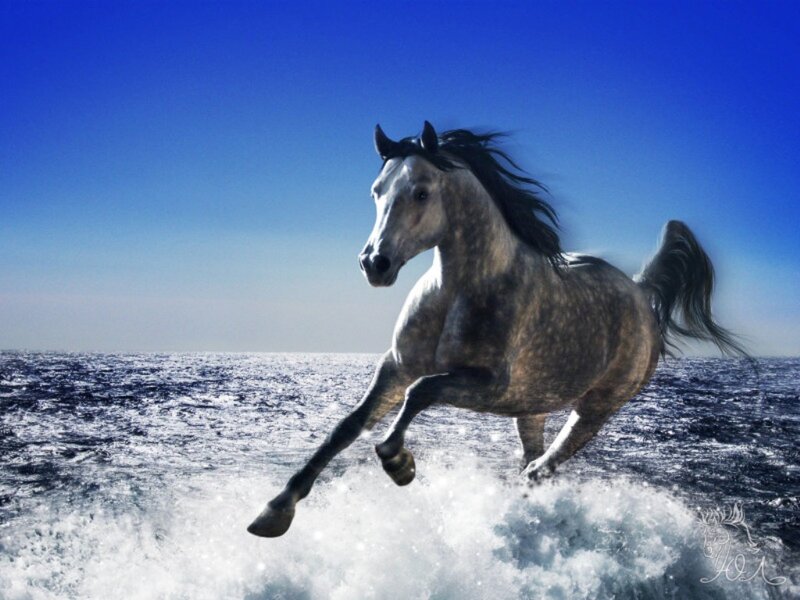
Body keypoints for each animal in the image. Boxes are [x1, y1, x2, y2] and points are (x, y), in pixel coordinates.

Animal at [247, 121, 746, 538]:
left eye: (422, 192)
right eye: (376, 192)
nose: (375, 263)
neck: (459, 291)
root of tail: (641, 293)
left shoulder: (490, 386)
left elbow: (422, 392)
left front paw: (399, 463)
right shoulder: (398, 366)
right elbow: (347, 426)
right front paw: (275, 510)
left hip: (596, 408)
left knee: (543, 467)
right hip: (533, 408)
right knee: (534, 460)